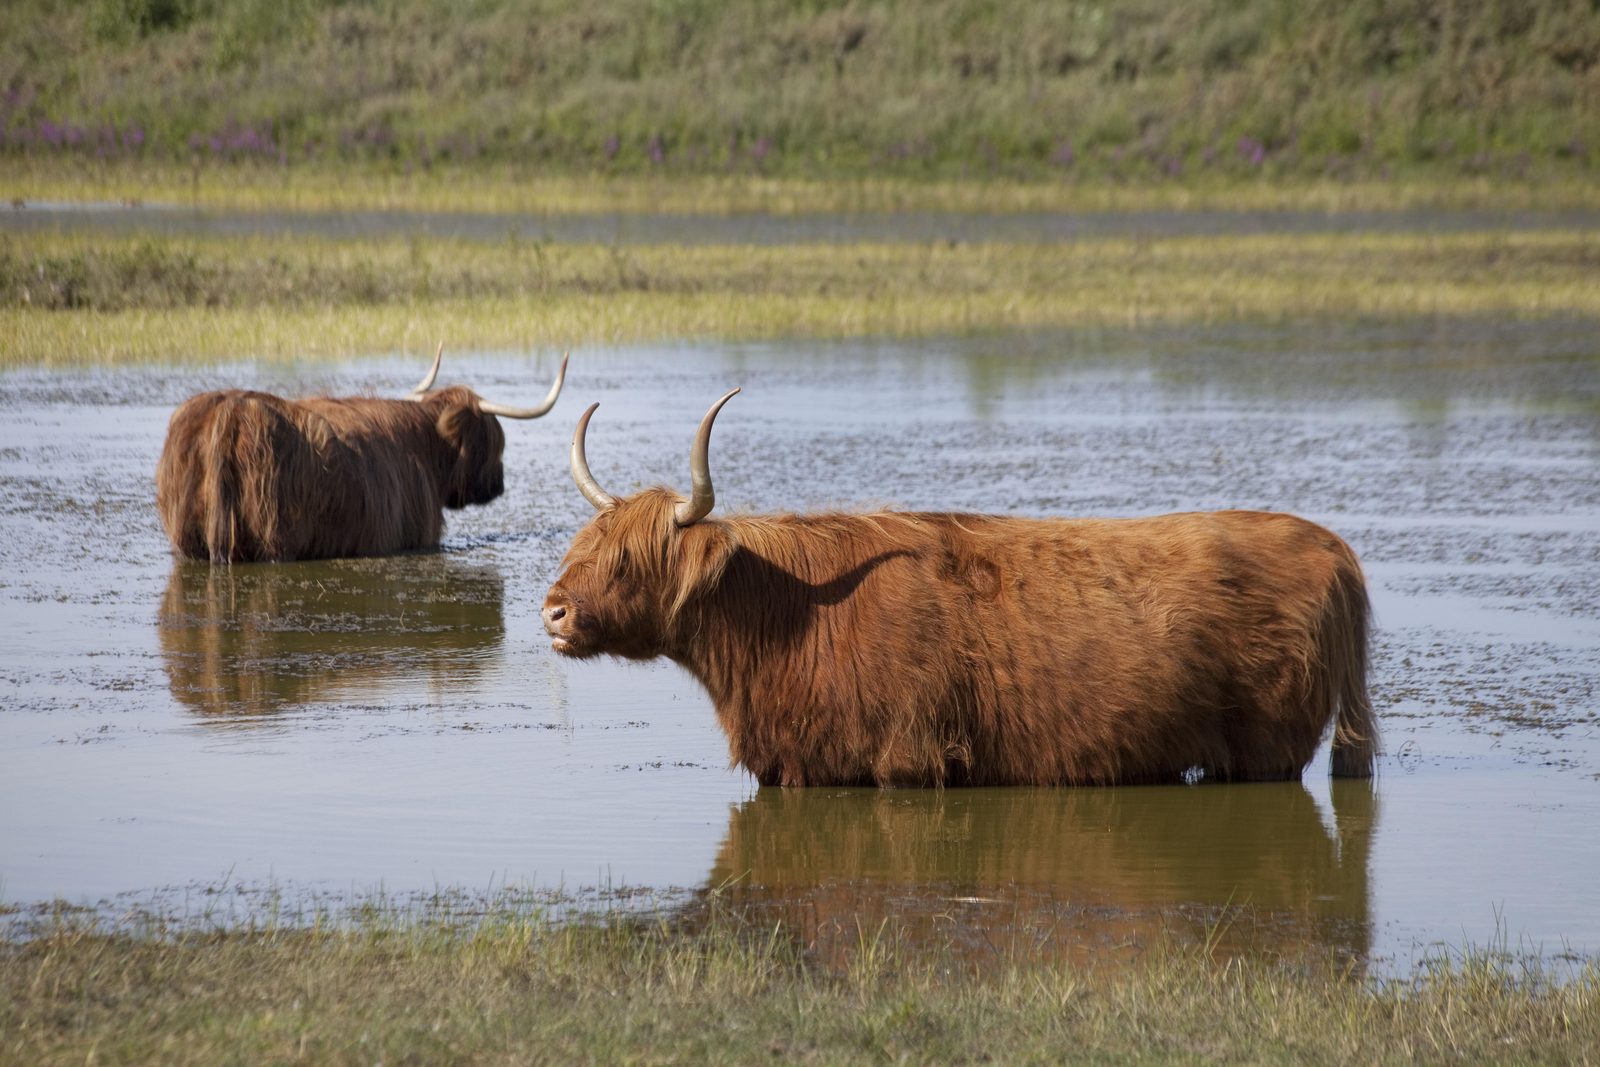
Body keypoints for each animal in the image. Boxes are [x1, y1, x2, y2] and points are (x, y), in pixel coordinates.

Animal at [157, 348, 569, 566]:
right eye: (495, 442)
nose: (499, 484)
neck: (426, 447)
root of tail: (231, 411)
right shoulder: (419, 534)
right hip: (272, 540)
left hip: (189, 540)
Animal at [547, 390, 1376, 783]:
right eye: (580, 547)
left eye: (626, 562)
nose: (552, 610)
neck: (787, 620)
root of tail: (1332, 547)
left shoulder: (903, 758)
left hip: (1268, 744)